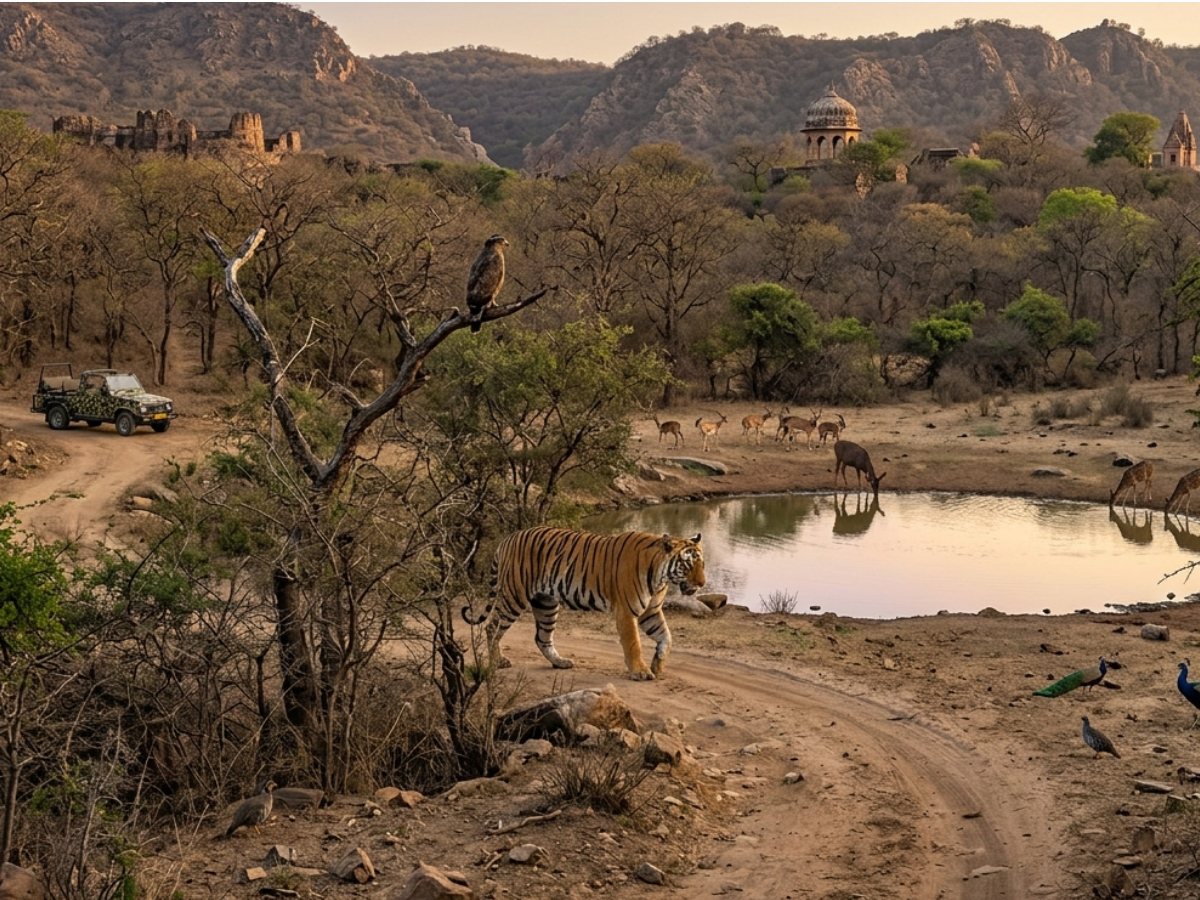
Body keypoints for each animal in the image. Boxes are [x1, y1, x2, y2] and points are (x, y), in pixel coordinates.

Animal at [461, 526, 705, 681]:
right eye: (687, 564)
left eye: (702, 564)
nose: (703, 584)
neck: (661, 576)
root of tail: (508, 538)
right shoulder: (627, 612)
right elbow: (633, 643)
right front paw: (641, 672)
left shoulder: (651, 612)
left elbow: (667, 638)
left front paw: (658, 665)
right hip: (513, 596)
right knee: (492, 627)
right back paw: (498, 662)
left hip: (546, 603)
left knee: (542, 637)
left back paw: (560, 662)